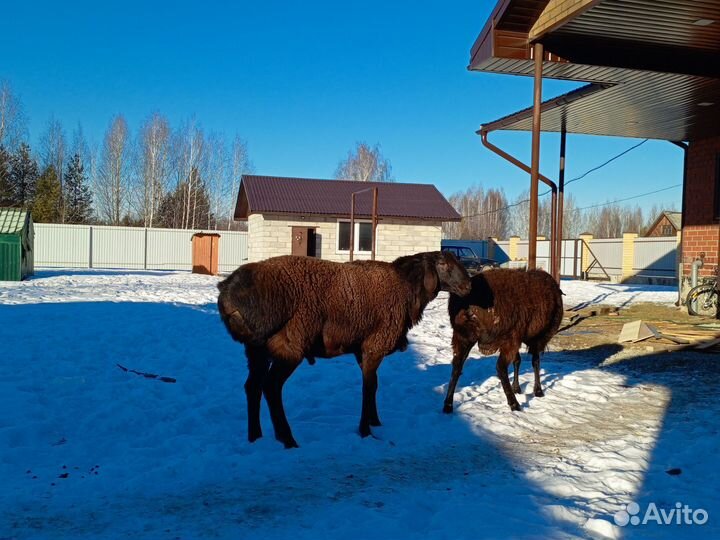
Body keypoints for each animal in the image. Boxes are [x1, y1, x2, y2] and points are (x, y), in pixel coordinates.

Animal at [217, 251, 470, 450]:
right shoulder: (374, 345)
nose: (468, 286)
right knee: (271, 387)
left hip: (256, 349)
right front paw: (366, 431)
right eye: (444, 264)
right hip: (288, 345)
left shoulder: (362, 349)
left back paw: (255, 438)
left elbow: (373, 385)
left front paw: (375, 421)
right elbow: (367, 388)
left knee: (252, 387)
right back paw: (287, 439)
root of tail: (227, 294)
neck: (406, 289)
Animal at [442, 268, 564, 414]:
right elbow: (535, 362)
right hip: (507, 337)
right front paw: (538, 390)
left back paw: (448, 404)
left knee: (457, 365)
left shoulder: (520, 336)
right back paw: (514, 404)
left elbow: (518, 360)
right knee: (500, 367)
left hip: (463, 336)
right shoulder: (537, 338)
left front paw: (517, 387)